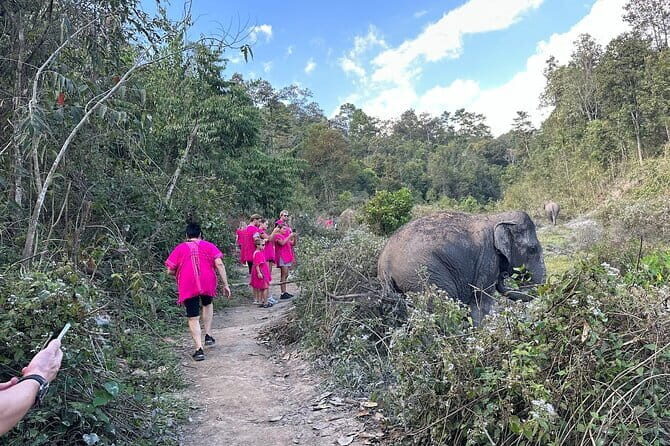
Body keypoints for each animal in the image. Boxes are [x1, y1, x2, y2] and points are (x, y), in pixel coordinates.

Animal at [377, 210, 546, 325]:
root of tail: (385, 262)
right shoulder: (488, 259)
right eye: (532, 249)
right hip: (424, 276)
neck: (497, 216)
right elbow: (481, 302)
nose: (504, 274)